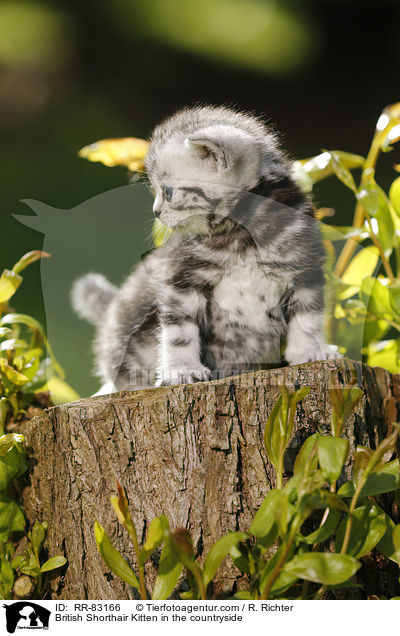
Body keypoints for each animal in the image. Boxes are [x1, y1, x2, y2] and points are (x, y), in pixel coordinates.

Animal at [71, 105, 338, 392]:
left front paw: (311, 351)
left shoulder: (304, 268)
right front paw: (181, 370)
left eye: (167, 192)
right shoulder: (181, 279)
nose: (156, 212)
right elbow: (179, 333)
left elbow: (307, 318)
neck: (239, 234)